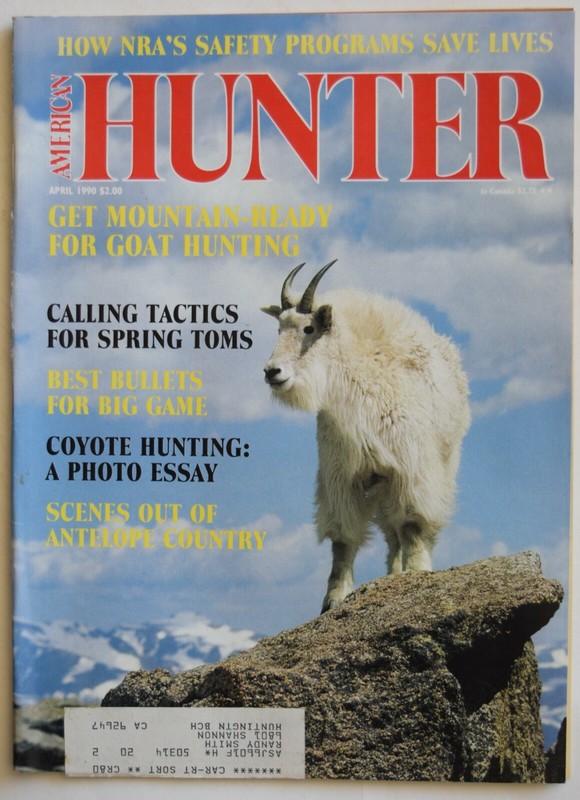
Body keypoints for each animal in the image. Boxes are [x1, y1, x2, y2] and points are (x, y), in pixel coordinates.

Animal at [262, 261, 470, 612]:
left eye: (309, 329)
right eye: (279, 329)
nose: (272, 372)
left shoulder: (411, 468)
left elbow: (413, 524)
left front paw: (417, 573)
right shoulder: (342, 475)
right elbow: (343, 539)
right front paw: (333, 599)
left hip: (442, 465)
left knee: (412, 528)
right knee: (391, 534)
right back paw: (391, 574)